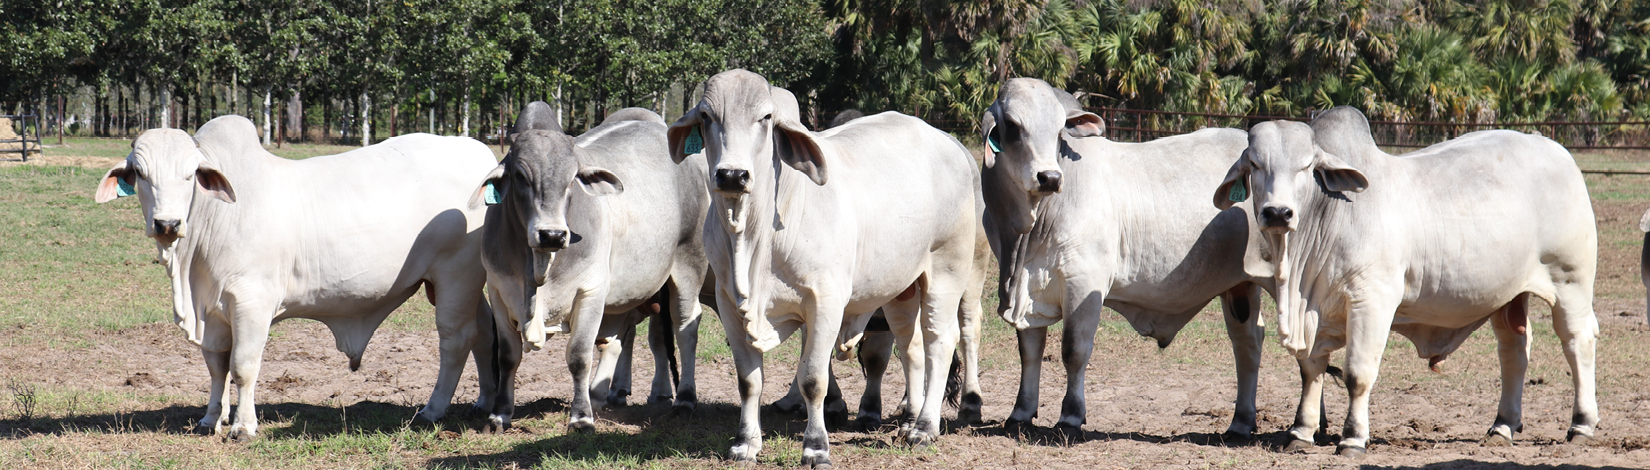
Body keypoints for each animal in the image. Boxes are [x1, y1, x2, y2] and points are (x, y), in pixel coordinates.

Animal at [94, 116, 497, 441]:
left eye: (190, 173)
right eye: (140, 173)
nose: (167, 223)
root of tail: (481, 154)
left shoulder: (251, 302)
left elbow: (243, 366)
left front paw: (243, 426)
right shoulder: (213, 309)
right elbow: (216, 367)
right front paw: (211, 419)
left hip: (455, 277)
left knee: (456, 339)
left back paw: (433, 409)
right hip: (455, 284)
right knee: (484, 328)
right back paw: (485, 402)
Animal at [474, 103, 709, 433]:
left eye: (573, 177)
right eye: (520, 175)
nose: (553, 235)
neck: (538, 267)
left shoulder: (590, 290)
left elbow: (579, 355)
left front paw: (581, 418)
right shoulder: (497, 291)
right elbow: (508, 356)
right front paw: (499, 415)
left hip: (689, 262)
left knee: (685, 326)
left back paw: (685, 399)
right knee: (618, 340)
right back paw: (601, 394)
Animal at [667, 69, 979, 468]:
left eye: (766, 117)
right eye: (706, 117)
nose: (733, 175)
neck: (753, 238)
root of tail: (949, 141)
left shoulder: (826, 302)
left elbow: (813, 379)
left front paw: (816, 446)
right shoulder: (730, 304)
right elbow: (748, 380)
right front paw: (744, 443)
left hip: (947, 269)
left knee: (939, 341)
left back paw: (924, 428)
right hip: (901, 288)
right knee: (911, 346)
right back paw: (909, 421)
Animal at [978, 78, 1269, 440]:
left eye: (1060, 130)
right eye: (1013, 125)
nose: (1050, 178)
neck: (1023, 238)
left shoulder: (1083, 284)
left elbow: (1074, 350)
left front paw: (1071, 416)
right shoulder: (1028, 289)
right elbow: (1029, 352)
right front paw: (1020, 412)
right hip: (1240, 285)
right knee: (1248, 344)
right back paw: (1241, 422)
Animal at [1216, 106, 1599, 456]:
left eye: (1307, 166)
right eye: (1255, 164)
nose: (1278, 213)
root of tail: (1553, 147)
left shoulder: (1372, 300)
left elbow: (1357, 374)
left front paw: (1353, 439)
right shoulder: (1313, 310)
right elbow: (1311, 370)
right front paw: (1301, 432)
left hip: (1570, 281)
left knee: (1577, 341)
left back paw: (1581, 424)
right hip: (1507, 295)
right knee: (1514, 349)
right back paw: (1503, 426)